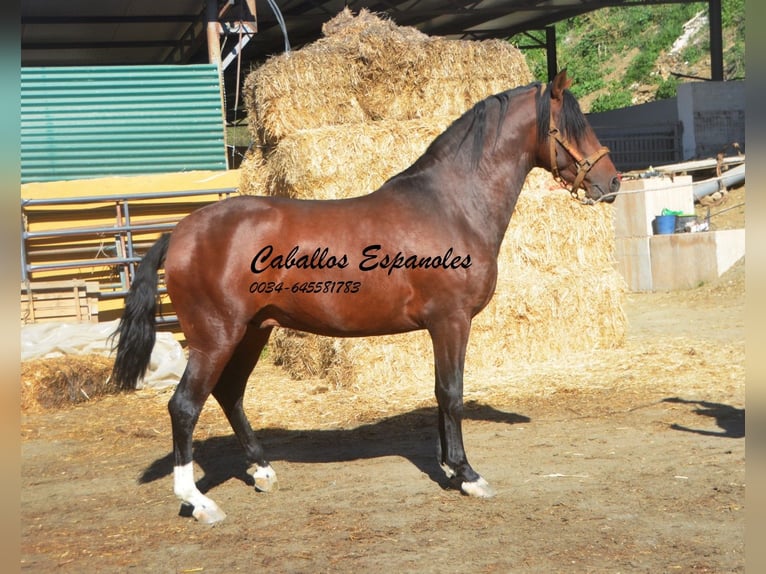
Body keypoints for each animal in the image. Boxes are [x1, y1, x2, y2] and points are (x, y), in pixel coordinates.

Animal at [111, 70, 620, 524]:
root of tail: (180, 233)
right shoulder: (452, 321)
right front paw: (468, 475)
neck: (450, 206)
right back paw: (199, 502)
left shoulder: (440, 327)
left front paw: (448, 468)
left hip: (252, 332)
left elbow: (440, 394)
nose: (611, 182)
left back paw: (262, 470)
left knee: (229, 393)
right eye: (572, 125)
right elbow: (452, 393)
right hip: (216, 336)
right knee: (185, 406)